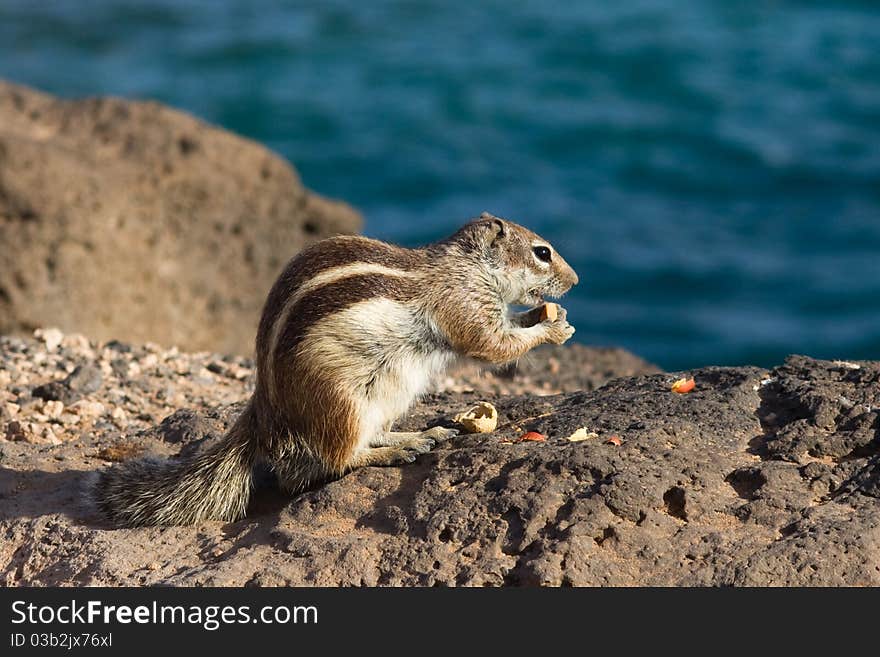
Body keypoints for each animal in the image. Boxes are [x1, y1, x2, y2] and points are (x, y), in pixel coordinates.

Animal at [94, 213, 576, 524]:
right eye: (542, 252)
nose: (575, 282)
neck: (468, 265)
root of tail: (265, 411)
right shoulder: (464, 304)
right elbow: (492, 345)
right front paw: (553, 328)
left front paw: (548, 317)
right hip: (340, 403)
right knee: (338, 459)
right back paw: (393, 451)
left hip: (389, 395)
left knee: (370, 435)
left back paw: (420, 434)